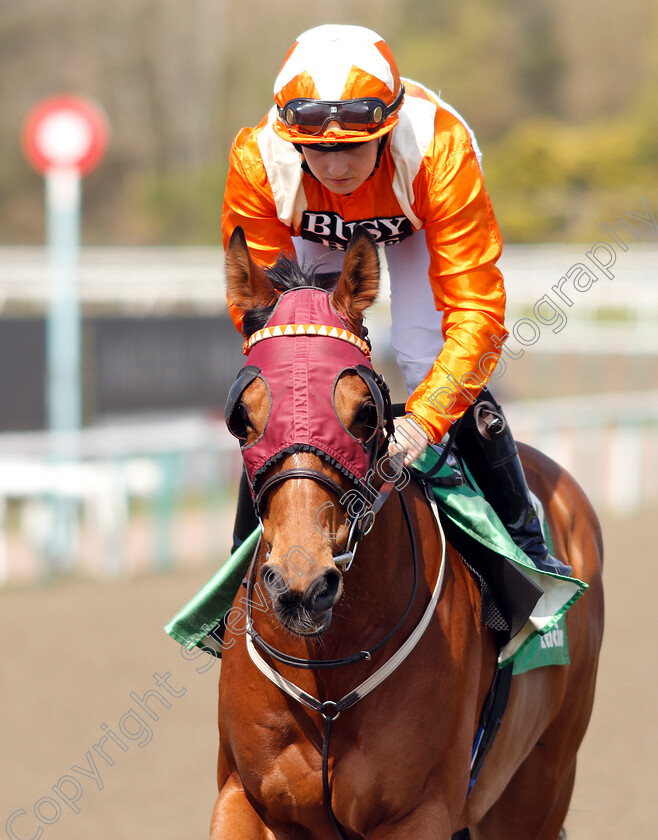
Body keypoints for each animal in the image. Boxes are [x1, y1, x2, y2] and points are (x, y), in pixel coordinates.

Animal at [211, 226, 604, 836]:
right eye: (242, 418)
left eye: (365, 414)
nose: (303, 585)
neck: (328, 677)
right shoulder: (242, 797)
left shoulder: (419, 811)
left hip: (539, 783)